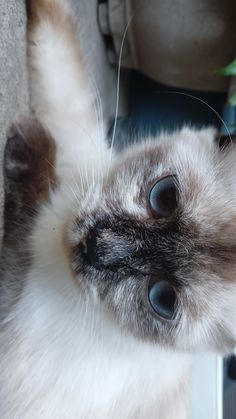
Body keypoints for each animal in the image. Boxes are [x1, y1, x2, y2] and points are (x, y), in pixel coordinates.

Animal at [0, 0, 236, 418]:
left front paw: (27, 142)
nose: (97, 246)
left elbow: (29, 207)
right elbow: (56, 42)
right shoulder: (78, 142)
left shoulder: (14, 294)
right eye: (164, 197)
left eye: (162, 300)